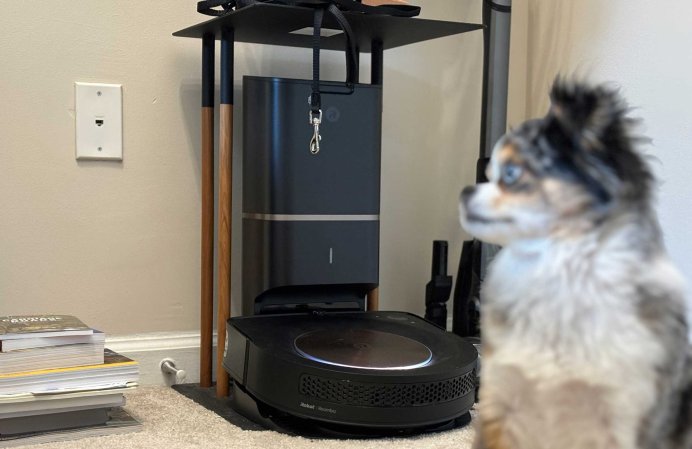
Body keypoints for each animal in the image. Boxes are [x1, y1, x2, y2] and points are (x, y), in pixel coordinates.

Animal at [460, 79, 692, 446]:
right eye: (488, 173)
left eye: (510, 173)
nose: (465, 191)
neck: (558, 271)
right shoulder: (500, 405)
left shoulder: (622, 420)